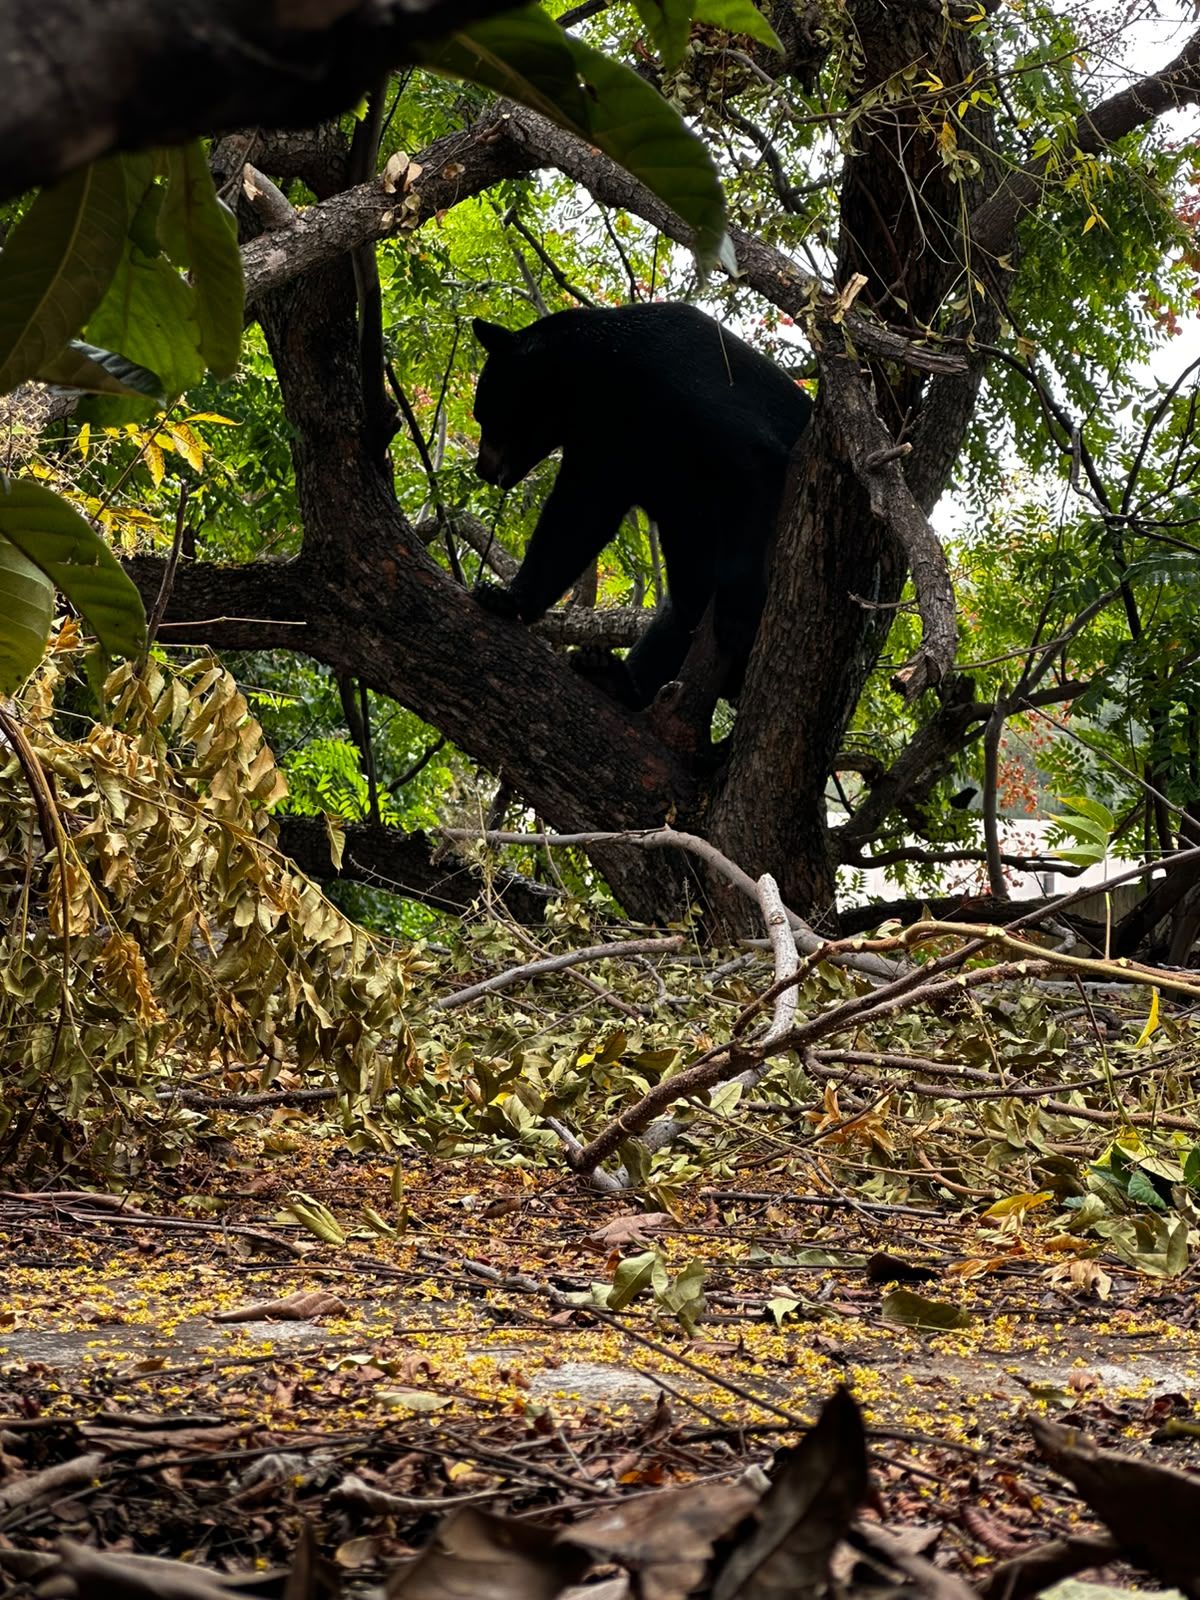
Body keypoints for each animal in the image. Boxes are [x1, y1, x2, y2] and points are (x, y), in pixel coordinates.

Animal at [470, 302, 812, 711]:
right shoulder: (608, 448)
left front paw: (736, 616)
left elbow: (751, 467)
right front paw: (507, 596)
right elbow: (575, 520)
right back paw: (612, 677)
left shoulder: (686, 387)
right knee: (672, 622)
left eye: (484, 414)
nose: (482, 469)